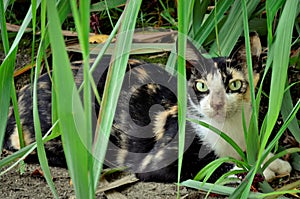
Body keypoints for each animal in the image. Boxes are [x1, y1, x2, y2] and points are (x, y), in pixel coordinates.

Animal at [3, 33, 292, 183]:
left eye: (234, 84)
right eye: (200, 86)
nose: (217, 103)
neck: (229, 131)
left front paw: (272, 160)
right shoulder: (158, 160)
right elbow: (213, 164)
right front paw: (256, 169)